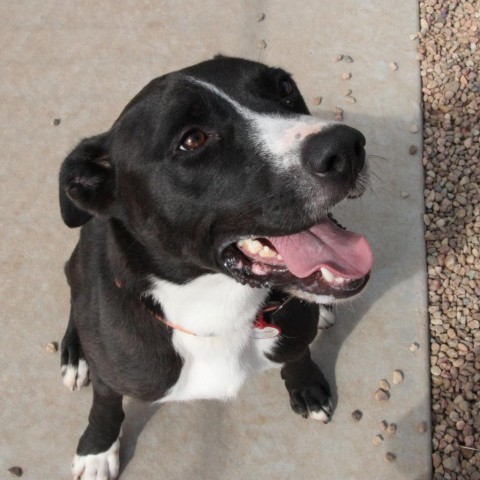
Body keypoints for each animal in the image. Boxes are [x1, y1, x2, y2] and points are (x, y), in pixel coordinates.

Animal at [58, 55, 376, 476]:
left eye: (284, 88)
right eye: (192, 140)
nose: (347, 147)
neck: (216, 311)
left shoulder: (292, 331)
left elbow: (298, 354)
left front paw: (305, 386)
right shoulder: (117, 376)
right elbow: (105, 406)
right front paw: (96, 450)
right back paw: (75, 353)